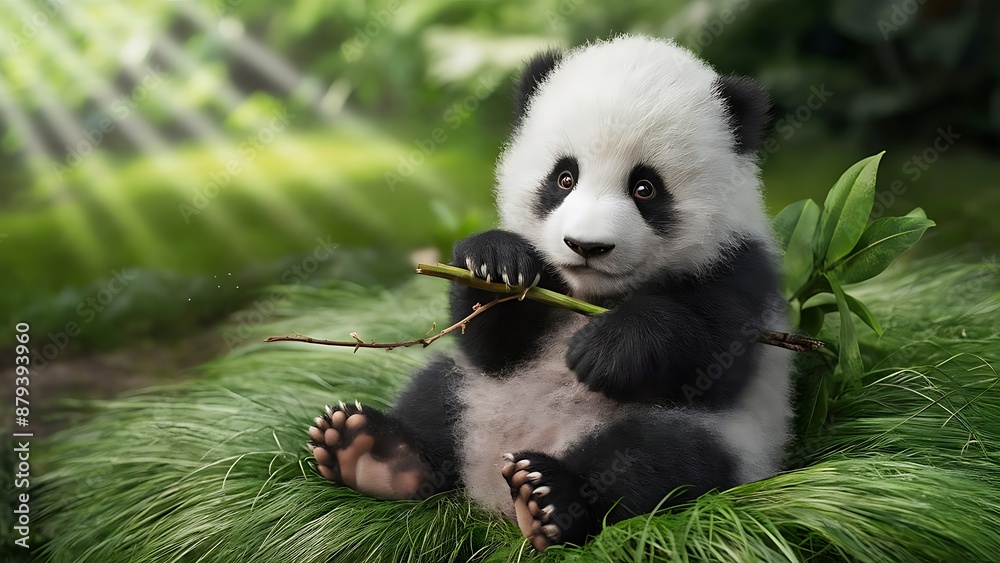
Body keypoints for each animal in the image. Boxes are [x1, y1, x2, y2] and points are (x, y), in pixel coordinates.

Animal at [308, 34, 792, 551]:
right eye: (564, 178)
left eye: (645, 188)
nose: (586, 246)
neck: (592, 296)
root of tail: (491, 497)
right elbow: (492, 343)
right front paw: (497, 262)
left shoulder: (743, 268)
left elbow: (714, 353)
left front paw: (605, 351)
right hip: (475, 395)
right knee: (435, 394)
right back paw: (370, 452)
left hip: (730, 443)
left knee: (657, 459)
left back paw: (548, 497)